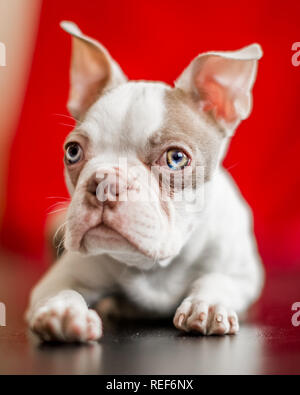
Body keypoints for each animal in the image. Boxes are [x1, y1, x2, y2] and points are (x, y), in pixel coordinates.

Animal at [26, 22, 264, 344]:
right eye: (72, 152)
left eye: (176, 158)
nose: (105, 183)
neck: (156, 266)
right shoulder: (63, 275)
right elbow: (61, 290)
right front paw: (63, 311)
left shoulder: (242, 274)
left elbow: (218, 279)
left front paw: (208, 303)